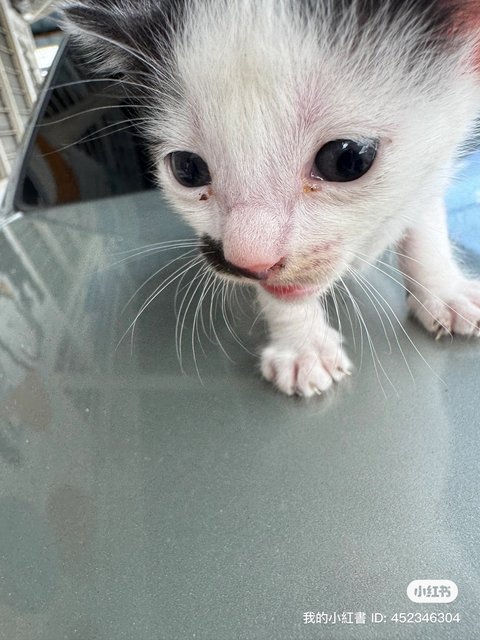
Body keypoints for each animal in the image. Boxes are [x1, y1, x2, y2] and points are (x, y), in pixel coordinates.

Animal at [62, 1, 480, 396]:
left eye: (346, 159)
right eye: (187, 169)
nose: (251, 260)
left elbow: (424, 216)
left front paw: (443, 291)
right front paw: (303, 348)